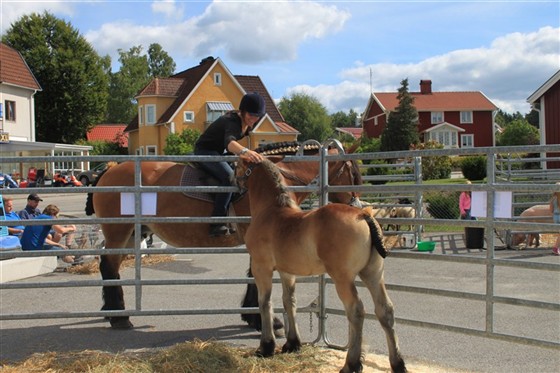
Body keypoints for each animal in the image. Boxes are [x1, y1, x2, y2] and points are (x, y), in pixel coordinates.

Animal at [85, 142, 360, 328]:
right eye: (354, 173)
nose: (356, 205)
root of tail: (109, 171)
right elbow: (255, 277)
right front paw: (262, 320)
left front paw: (251, 316)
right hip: (118, 232)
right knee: (109, 266)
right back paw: (119, 318)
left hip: (132, 233)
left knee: (111, 266)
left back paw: (113, 312)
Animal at [234, 158, 404, 372]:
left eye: (238, 165)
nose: (234, 182)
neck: (271, 210)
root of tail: (364, 215)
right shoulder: (287, 272)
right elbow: (289, 301)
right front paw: (292, 344)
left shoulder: (261, 268)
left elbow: (265, 302)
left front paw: (266, 347)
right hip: (373, 273)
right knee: (385, 310)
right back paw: (398, 364)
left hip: (343, 278)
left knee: (356, 311)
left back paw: (351, 364)